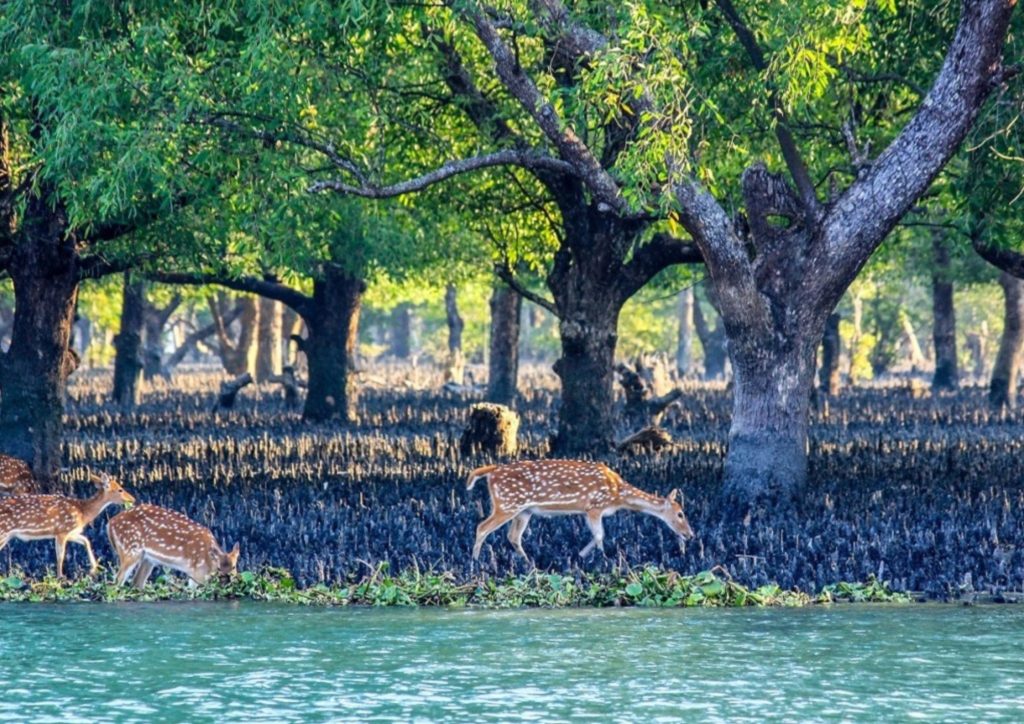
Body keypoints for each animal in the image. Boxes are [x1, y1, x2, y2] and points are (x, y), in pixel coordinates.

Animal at [0, 473, 136, 581]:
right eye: (120, 489)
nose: (133, 499)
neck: (83, 512)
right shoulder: (62, 530)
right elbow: (61, 555)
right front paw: (61, 577)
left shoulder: (71, 532)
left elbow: (86, 541)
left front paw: (94, 569)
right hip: (3, 531)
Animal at [107, 503, 239, 589]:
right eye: (219, 568)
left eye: (234, 567)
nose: (227, 582)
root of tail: (110, 523)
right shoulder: (197, 572)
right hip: (130, 549)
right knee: (116, 582)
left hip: (147, 559)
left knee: (136, 582)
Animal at [466, 460, 696, 565]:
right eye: (680, 513)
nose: (690, 535)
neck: (618, 494)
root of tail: (491, 472)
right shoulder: (594, 505)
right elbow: (600, 535)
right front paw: (603, 559)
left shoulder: (588, 511)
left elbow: (597, 535)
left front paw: (581, 556)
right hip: (507, 504)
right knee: (482, 527)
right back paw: (475, 562)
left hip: (524, 510)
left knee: (513, 536)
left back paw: (530, 564)